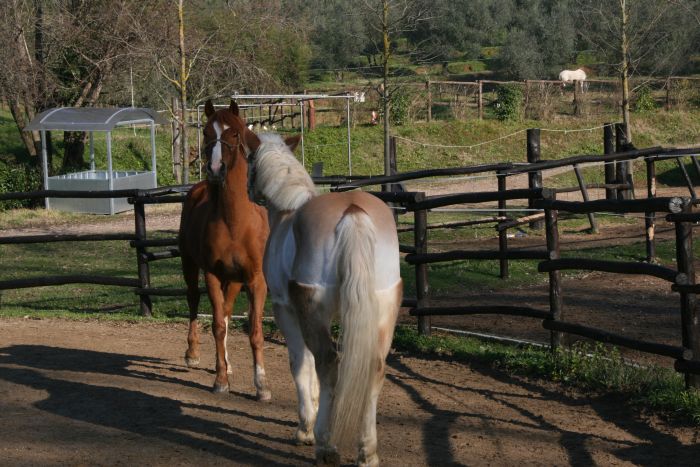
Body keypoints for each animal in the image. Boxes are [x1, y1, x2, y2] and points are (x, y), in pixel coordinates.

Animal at [178, 100, 270, 400]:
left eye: (234, 133)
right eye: (206, 132)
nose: (215, 169)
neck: (234, 222)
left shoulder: (254, 280)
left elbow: (254, 330)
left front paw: (261, 385)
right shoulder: (212, 276)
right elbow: (217, 325)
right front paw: (220, 381)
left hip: (234, 281)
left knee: (228, 311)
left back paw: (228, 364)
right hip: (189, 264)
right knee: (193, 301)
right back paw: (193, 353)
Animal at [247, 133, 402, 467]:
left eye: (249, 159)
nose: (249, 191)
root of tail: (353, 212)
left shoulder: (286, 310)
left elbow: (300, 364)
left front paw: (305, 428)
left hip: (311, 312)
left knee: (328, 364)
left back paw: (325, 445)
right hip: (383, 310)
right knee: (374, 367)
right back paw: (367, 452)